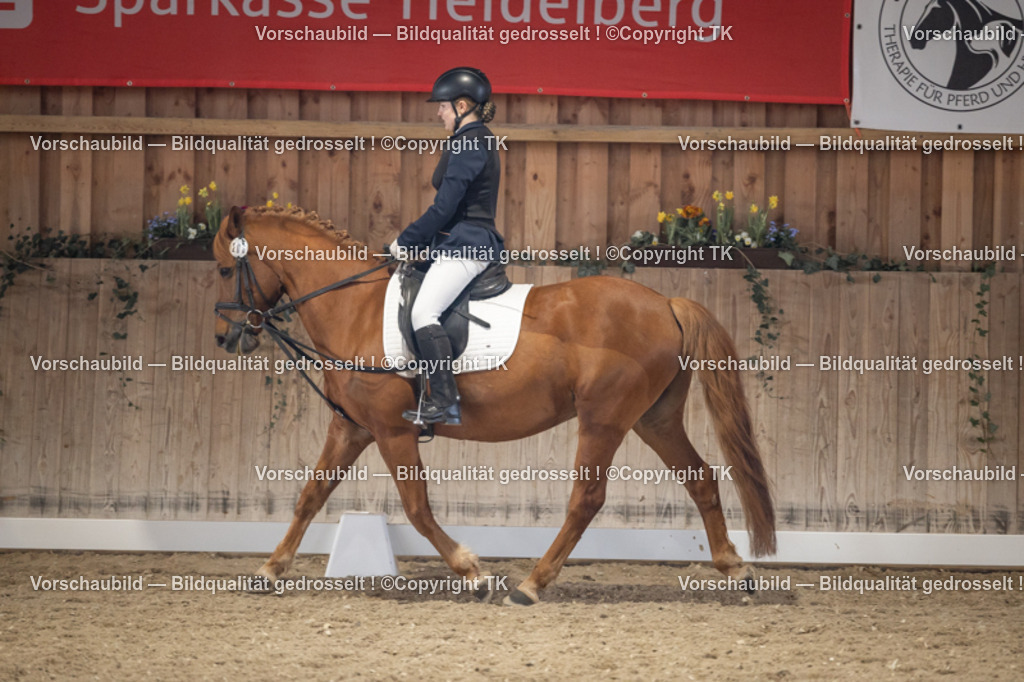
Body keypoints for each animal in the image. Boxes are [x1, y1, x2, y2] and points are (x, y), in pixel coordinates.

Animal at [212, 205, 776, 605]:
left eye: (221, 270)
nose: (225, 336)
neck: (355, 308)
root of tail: (665, 303)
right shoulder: (351, 428)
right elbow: (311, 495)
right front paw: (268, 571)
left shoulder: (393, 431)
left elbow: (417, 508)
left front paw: (473, 573)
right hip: (653, 419)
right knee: (700, 478)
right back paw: (736, 569)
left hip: (604, 420)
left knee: (587, 498)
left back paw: (530, 585)